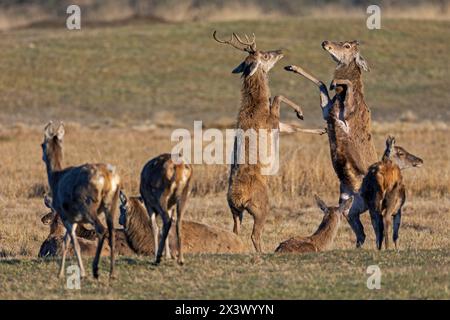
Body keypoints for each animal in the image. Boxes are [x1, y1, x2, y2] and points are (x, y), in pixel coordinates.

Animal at [40, 121, 120, 278]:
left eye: (42, 144)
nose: (43, 219)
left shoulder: (67, 217)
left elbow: (71, 242)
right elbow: (68, 240)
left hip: (89, 208)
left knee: (101, 229)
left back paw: (95, 269)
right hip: (110, 207)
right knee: (111, 231)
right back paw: (112, 272)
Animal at [213, 31, 326, 254]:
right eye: (265, 55)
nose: (280, 51)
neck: (256, 106)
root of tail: (238, 198)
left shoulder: (277, 124)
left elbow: (292, 125)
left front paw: (321, 129)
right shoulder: (272, 122)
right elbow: (278, 97)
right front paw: (301, 112)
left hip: (234, 211)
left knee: (236, 231)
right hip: (261, 207)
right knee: (254, 234)